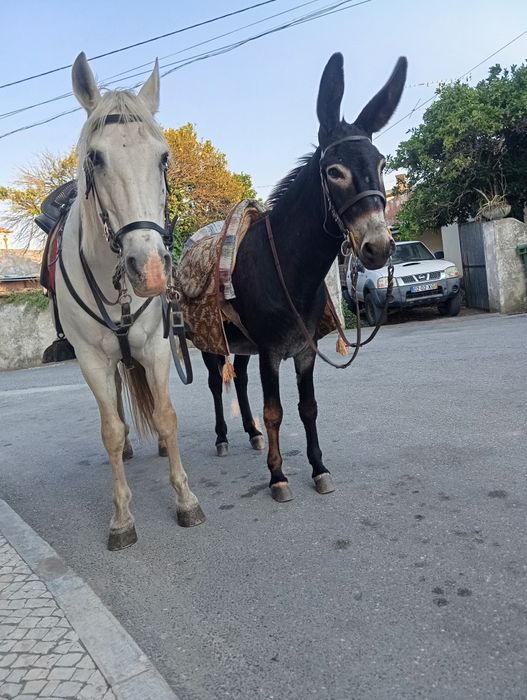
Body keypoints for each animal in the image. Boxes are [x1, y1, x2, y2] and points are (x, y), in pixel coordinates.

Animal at [54, 52, 205, 550]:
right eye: (94, 158)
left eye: (163, 157)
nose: (151, 269)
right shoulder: (90, 361)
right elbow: (109, 428)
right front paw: (121, 517)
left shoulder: (156, 348)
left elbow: (167, 415)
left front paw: (185, 499)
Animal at [201, 52, 407, 502]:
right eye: (334, 172)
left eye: (382, 164)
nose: (379, 248)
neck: (289, 269)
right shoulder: (272, 351)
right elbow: (275, 411)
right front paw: (278, 477)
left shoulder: (305, 348)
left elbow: (307, 408)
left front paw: (319, 469)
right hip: (209, 340)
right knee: (213, 381)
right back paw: (222, 437)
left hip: (242, 343)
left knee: (239, 378)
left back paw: (250, 434)